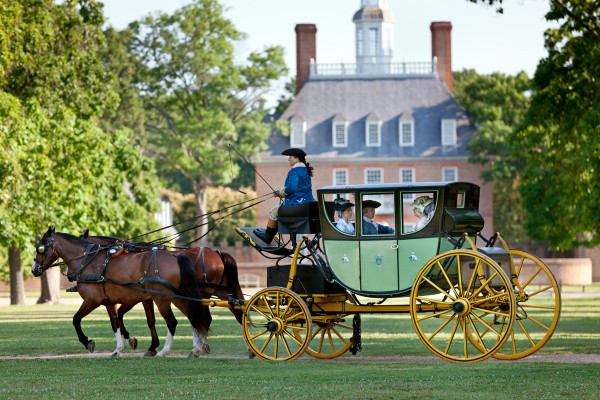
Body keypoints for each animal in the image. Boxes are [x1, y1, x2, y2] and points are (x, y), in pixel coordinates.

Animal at [32, 227, 212, 358]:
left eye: (40, 249)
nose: (34, 270)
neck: (89, 260)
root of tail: (175, 257)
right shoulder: (110, 301)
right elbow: (116, 322)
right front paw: (120, 347)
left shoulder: (92, 300)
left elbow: (76, 319)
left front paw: (88, 342)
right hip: (177, 297)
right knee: (194, 317)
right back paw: (197, 348)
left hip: (162, 299)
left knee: (173, 322)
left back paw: (165, 351)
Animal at [78, 233, 250, 358]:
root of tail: (217, 253)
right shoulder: (145, 298)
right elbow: (149, 320)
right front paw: (149, 345)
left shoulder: (136, 297)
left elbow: (122, 316)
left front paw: (137, 342)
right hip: (220, 292)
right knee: (234, 312)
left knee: (203, 318)